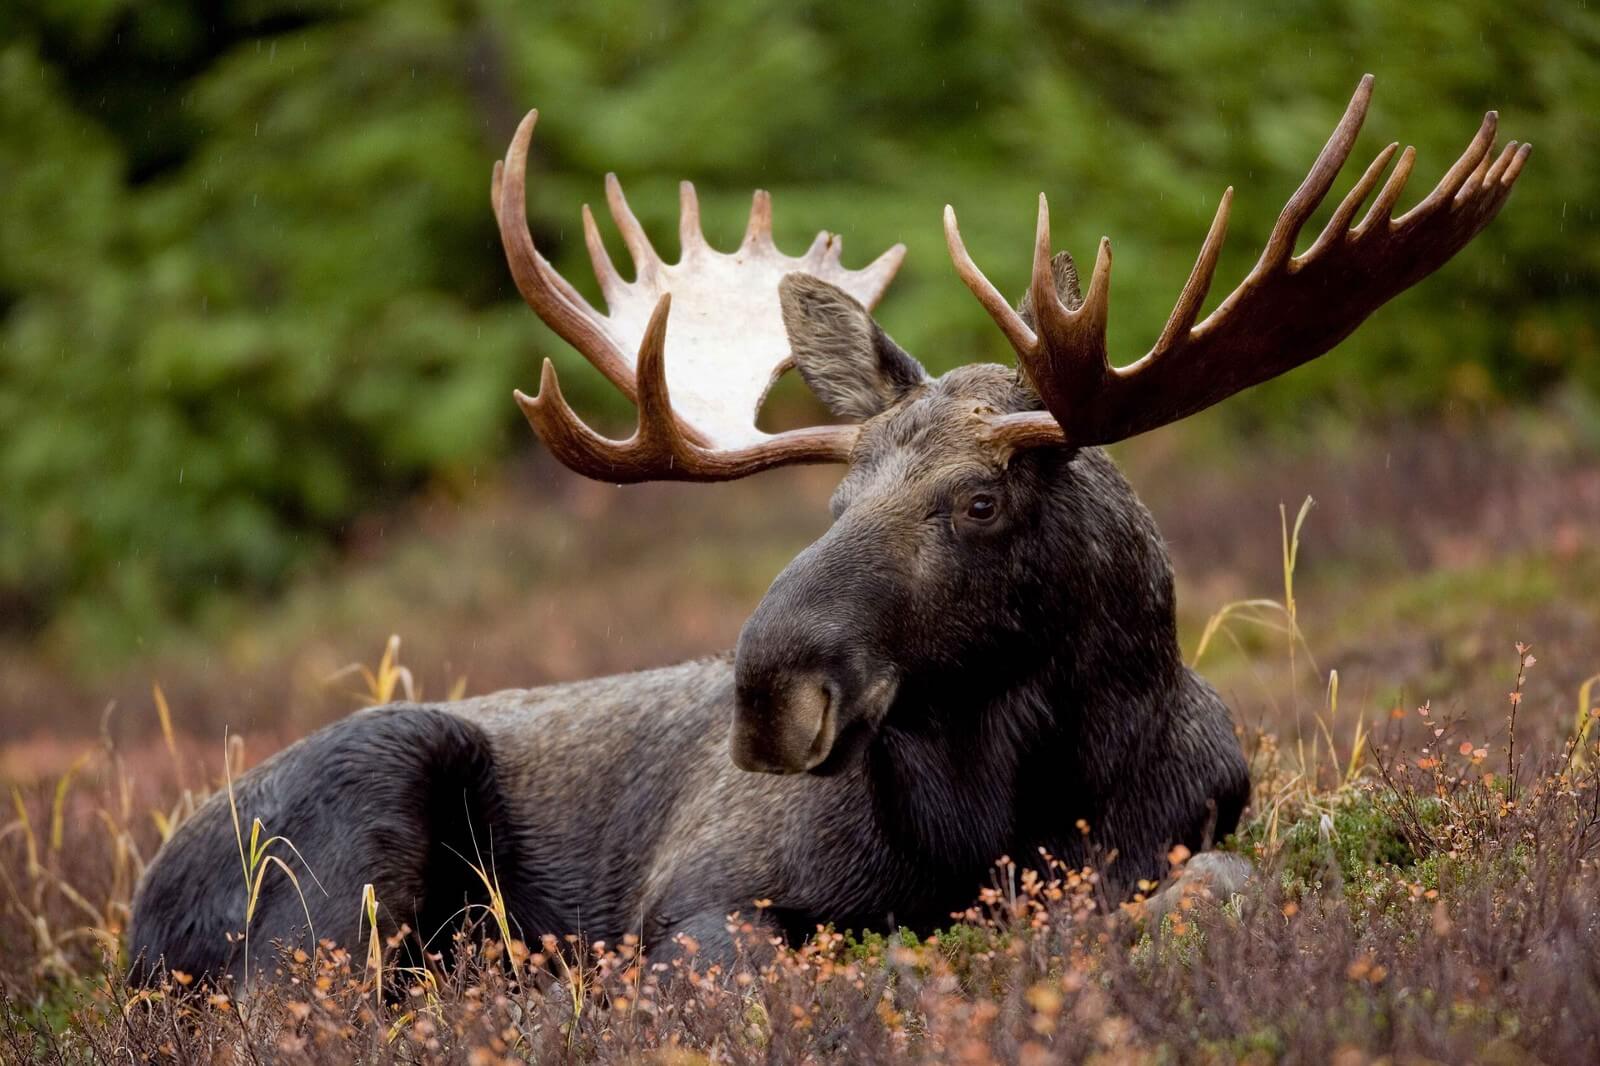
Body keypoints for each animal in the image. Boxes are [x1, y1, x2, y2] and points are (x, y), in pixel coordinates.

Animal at [128, 76, 1527, 984]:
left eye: (978, 499)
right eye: (836, 502)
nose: (768, 692)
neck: (1002, 813)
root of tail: (141, 910)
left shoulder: (1185, 837)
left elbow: (1216, 892)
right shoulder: (701, 900)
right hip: (344, 854)